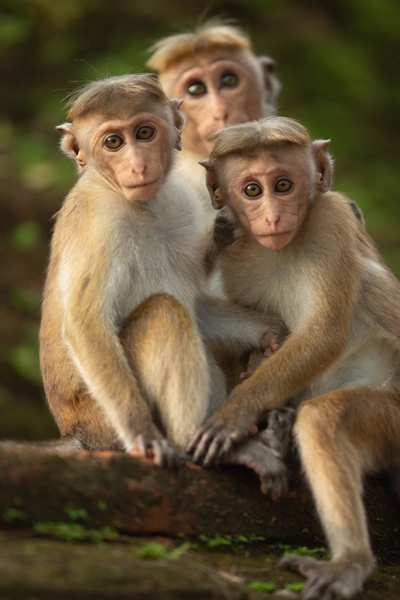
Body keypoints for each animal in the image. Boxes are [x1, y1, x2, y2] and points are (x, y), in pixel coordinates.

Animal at [36, 75, 290, 478]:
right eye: (113, 142)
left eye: (144, 132)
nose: (138, 165)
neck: (143, 206)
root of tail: (75, 431)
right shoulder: (98, 222)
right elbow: (86, 325)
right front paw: (144, 435)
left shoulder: (184, 200)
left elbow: (196, 305)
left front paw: (272, 332)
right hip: (102, 422)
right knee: (163, 313)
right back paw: (212, 447)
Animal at [189, 116, 400, 600]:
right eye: (252, 190)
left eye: (283, 185)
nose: (272, 215)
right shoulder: (235, 257)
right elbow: (265, 336)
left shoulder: (332, 220)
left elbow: (322, 336)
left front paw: (235, 413)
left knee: (324, 419)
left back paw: (349, 565)